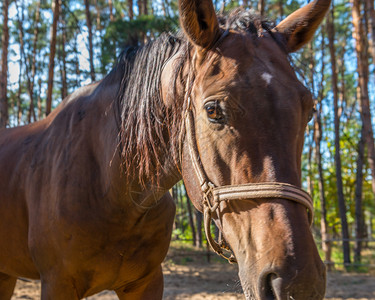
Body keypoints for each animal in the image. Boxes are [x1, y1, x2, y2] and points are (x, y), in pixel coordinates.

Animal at [0, 0, 328, 298]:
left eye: (309, 109)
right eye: (212, 110)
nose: (298, 283)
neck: (112, 190)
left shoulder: (146, 283)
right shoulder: (58, 283)